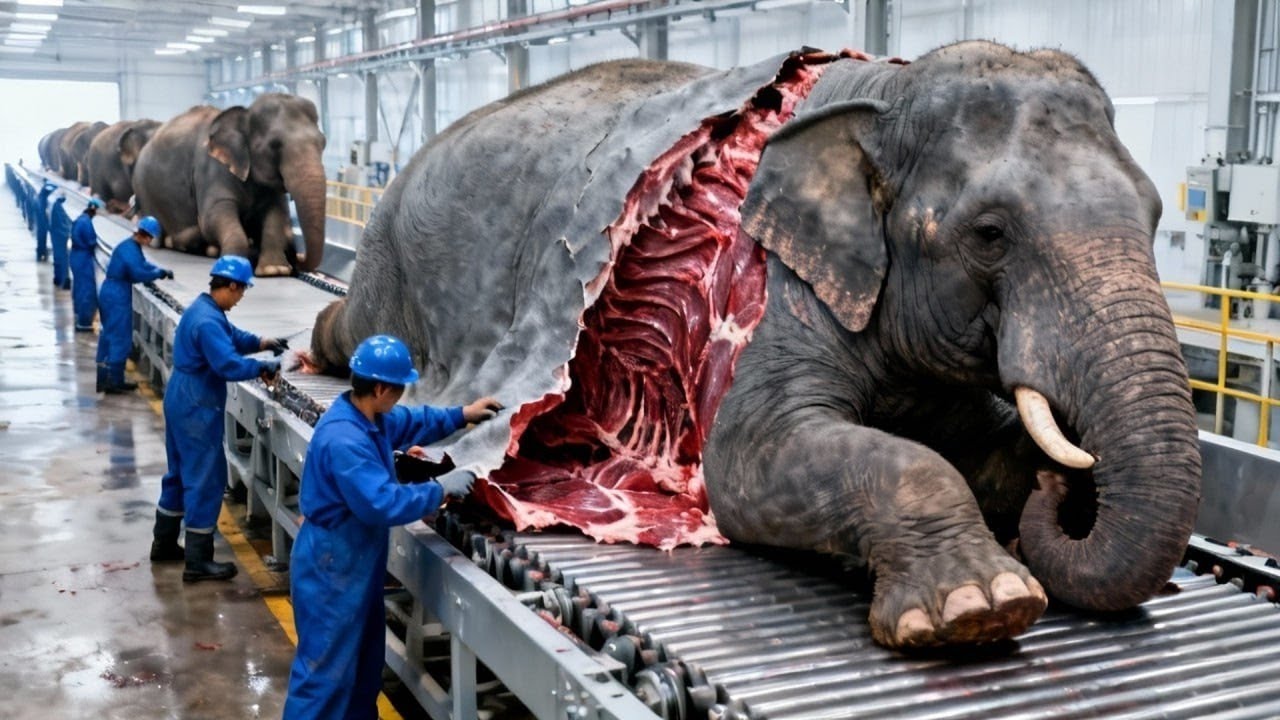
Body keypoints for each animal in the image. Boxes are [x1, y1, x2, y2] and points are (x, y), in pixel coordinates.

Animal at [131, 93, 327, 276]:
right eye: (275, 145)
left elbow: (277, 216)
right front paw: (233, 264)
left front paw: (274, 270)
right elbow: (212, 217)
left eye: (323, 143)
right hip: (144, 192)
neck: (244, 114)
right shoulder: (211, 169)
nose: (299, 258)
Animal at [305, 42, 1201, 650]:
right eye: (989, 234)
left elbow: (985, 444)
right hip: (393, 269)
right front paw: (978, 608)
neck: (883, 91)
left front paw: (1037, 494)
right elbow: (747, 465)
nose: (1067, 488)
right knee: (358, 330)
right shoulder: (774, 291)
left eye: (1159, 213)